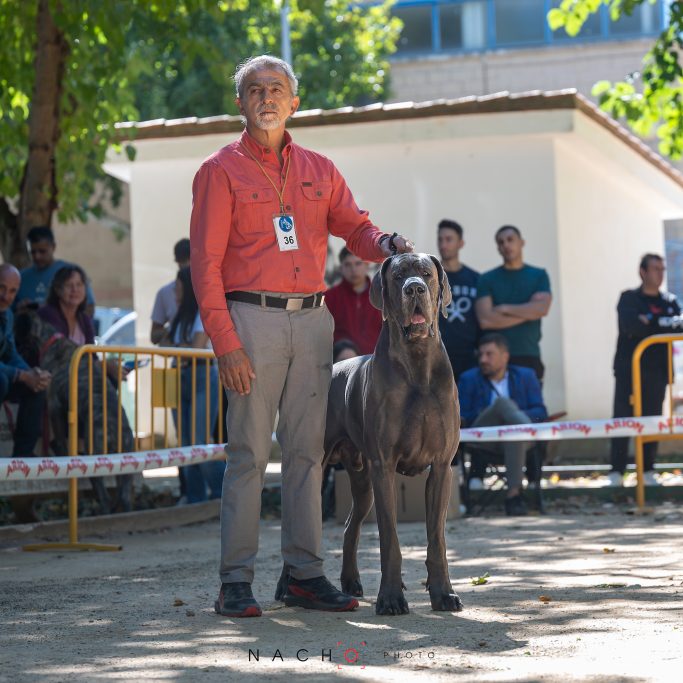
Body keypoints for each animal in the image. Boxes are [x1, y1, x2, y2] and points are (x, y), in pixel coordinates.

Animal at [276, 251, 462, 616]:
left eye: (426, 274)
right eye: (398, 275)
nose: (415, 289)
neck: (417, 363)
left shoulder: (441, 467)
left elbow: (437, 539)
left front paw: (443, 593)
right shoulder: (384, 466)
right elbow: (390, 538)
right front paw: (390, 598)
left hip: (361, 481)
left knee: (351, 526)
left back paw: (350, 581)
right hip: (320, 468)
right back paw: (287, 587)